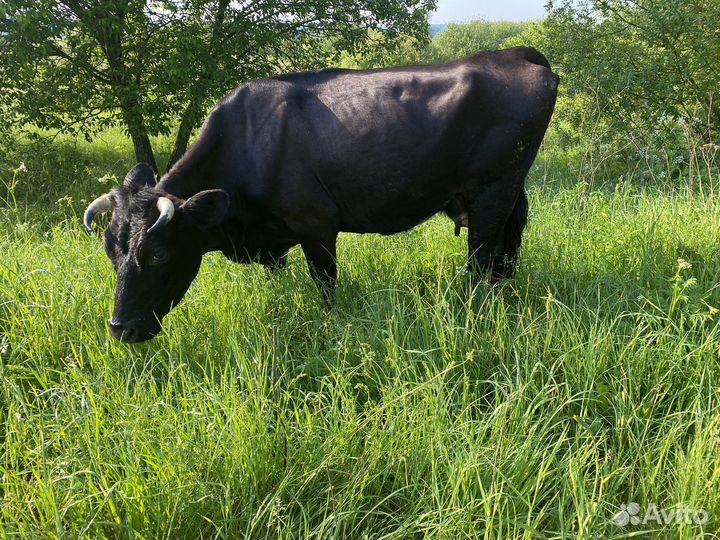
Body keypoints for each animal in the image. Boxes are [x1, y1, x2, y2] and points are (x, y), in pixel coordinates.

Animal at [83, 46, 559, 343]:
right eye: (110, 252)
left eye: (158, 253)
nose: (120, 328)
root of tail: (515, 53)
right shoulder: (272, 241)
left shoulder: (316, 224)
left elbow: (326, 286)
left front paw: (332, 327)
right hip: (507, 194)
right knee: (506, 255)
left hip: (493, 192)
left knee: (482, 261)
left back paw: (474, 312)